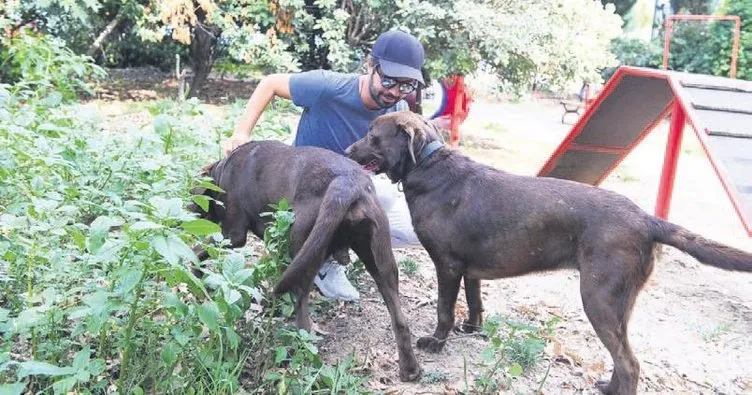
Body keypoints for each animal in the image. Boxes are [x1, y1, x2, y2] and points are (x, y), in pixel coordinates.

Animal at [189, 141, 424, 382]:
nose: (189, 210)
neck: (223, 169)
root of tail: (347, 182)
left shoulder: (233, 235)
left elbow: (201, 249)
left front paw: (196, 276)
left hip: (301, 244)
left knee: (304, 320)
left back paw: (298, 361)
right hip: (380, 263)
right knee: (400, 320)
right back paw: (410, 370)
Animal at [346, 111, 752, 395]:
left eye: (372, 135)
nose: (347, 149)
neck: (429, 165)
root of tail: (646, 218)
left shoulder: (446, 265)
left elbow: (444, 310)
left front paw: (435, 342)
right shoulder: (470, 270)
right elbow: (475, 303)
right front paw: (472, 328)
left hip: (599, 298)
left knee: (631, 363)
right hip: (620, 305)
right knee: (623, 359)